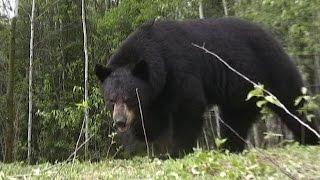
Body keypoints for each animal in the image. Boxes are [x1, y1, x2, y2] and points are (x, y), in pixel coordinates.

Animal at [95, 18, 318, 155]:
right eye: (111, 99)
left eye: (129, 98)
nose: (120, 121)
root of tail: (272, 37)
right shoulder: (158, 92)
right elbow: (151, 123)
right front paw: (144, 143)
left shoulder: (180, 72)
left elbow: (189, 107)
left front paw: (177, 150)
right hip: (241, 94)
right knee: (235, 121)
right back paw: (230, 147)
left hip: (271, 69)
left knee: (292, 102)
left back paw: (310, 138)